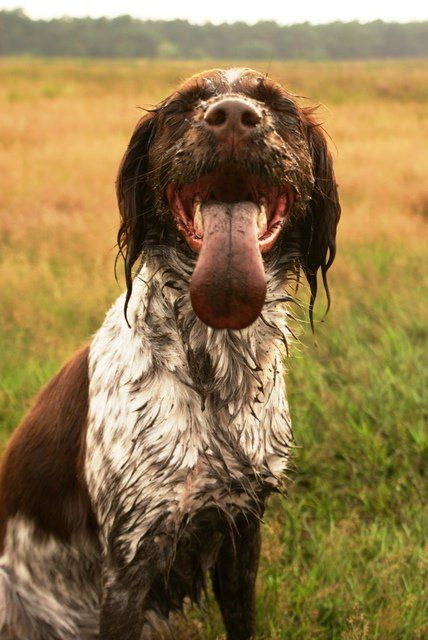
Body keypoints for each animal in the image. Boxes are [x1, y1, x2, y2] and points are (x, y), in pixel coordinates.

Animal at [0, 70, 342, 640]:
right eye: (188, 103)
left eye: (276, 103)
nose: (233, 117)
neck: (216, 366)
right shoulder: (130, 561)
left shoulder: (242, 530)